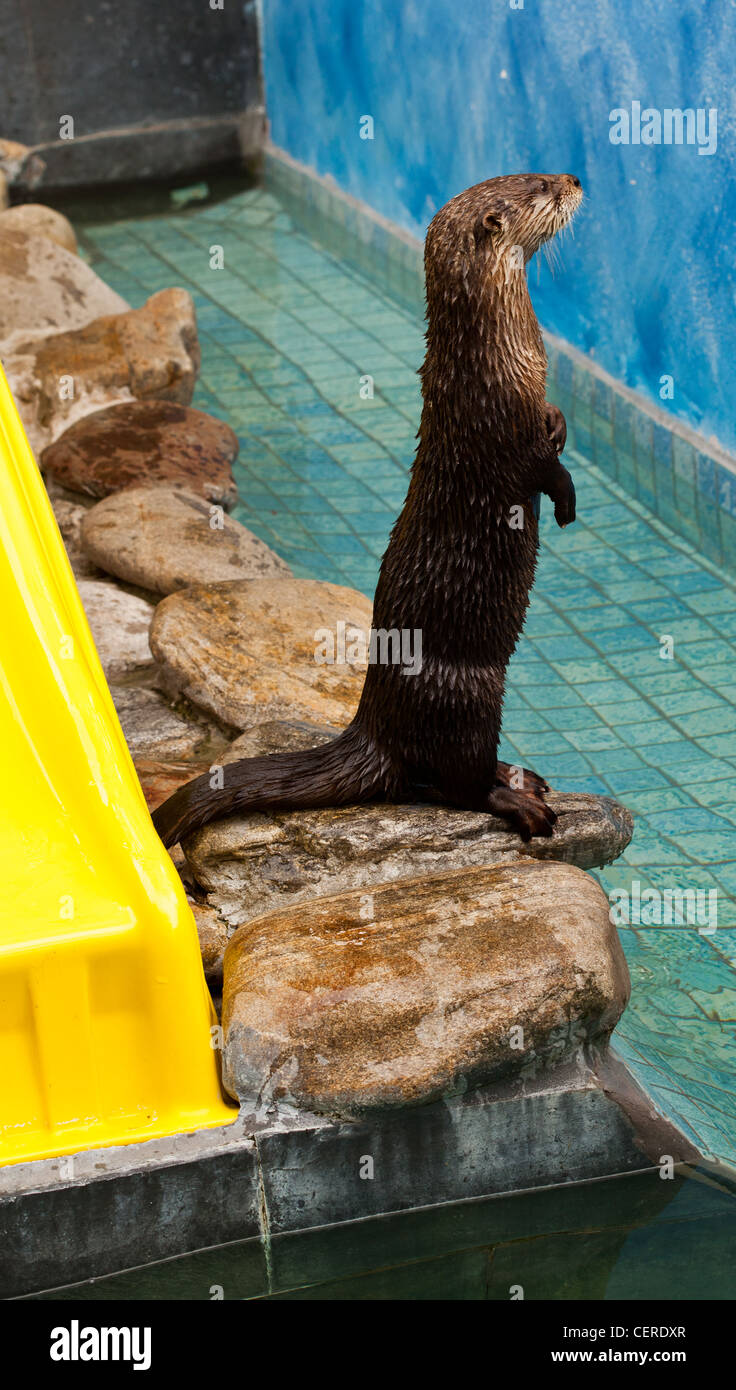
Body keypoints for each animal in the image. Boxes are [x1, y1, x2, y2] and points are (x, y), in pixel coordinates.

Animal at [153, 172, 582, 849]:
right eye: (541, 185)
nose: (576, 180)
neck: (504, 353)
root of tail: (372, 729)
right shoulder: (503, 427)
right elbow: (543, 470)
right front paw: (565, 502)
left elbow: (554, 423)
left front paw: (562, 425)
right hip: (471, 698)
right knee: (450, 783)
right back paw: (517, 801)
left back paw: (520, 775)